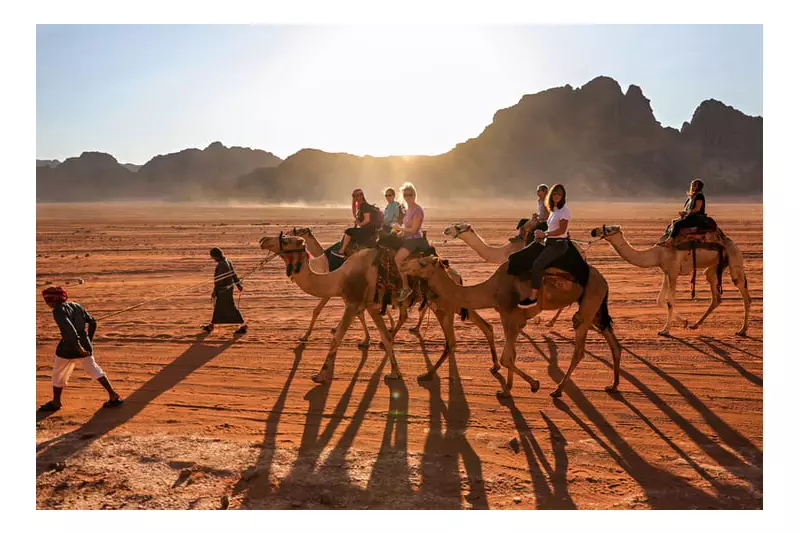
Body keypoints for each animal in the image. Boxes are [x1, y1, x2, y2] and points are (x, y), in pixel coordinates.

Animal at [260, 234, 503, 381]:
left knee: (461, 334)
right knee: (482, 325)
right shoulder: (369, 304)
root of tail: (454, 274)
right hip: (449, 303)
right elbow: (385, 336)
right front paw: (394, 371)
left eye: (289, 240)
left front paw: (320, 375)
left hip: (444, 304)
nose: (263, 239)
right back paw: (493, 365)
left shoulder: (354, 302)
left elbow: (337, 336)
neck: (339, 277)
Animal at [400, 256, 622, 398]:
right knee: (614, 344)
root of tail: (604, 280)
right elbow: (510, 356)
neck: (492, 289)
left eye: (422, 262)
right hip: (596, 309)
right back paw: (613, 386)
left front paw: (532, 385)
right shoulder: (507, 316)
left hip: (589, 304)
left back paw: (558, 390)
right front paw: (508, 388)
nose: (402, 264)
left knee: (579, 348)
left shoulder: (513, 316)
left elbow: (506, 358)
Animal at [589, 224, 751, 337]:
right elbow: (660, 300)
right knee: (715, 293)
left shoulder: (673, 271)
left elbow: (670, 301)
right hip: (715, 267)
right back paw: (695, 325)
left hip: (734, 259)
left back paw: (742, 330)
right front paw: (684, 322)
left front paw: (665, 331)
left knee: (743, 292)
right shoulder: (666, 271)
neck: (657, 253)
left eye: (609, 229)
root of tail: (731, 242)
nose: (594, 231)